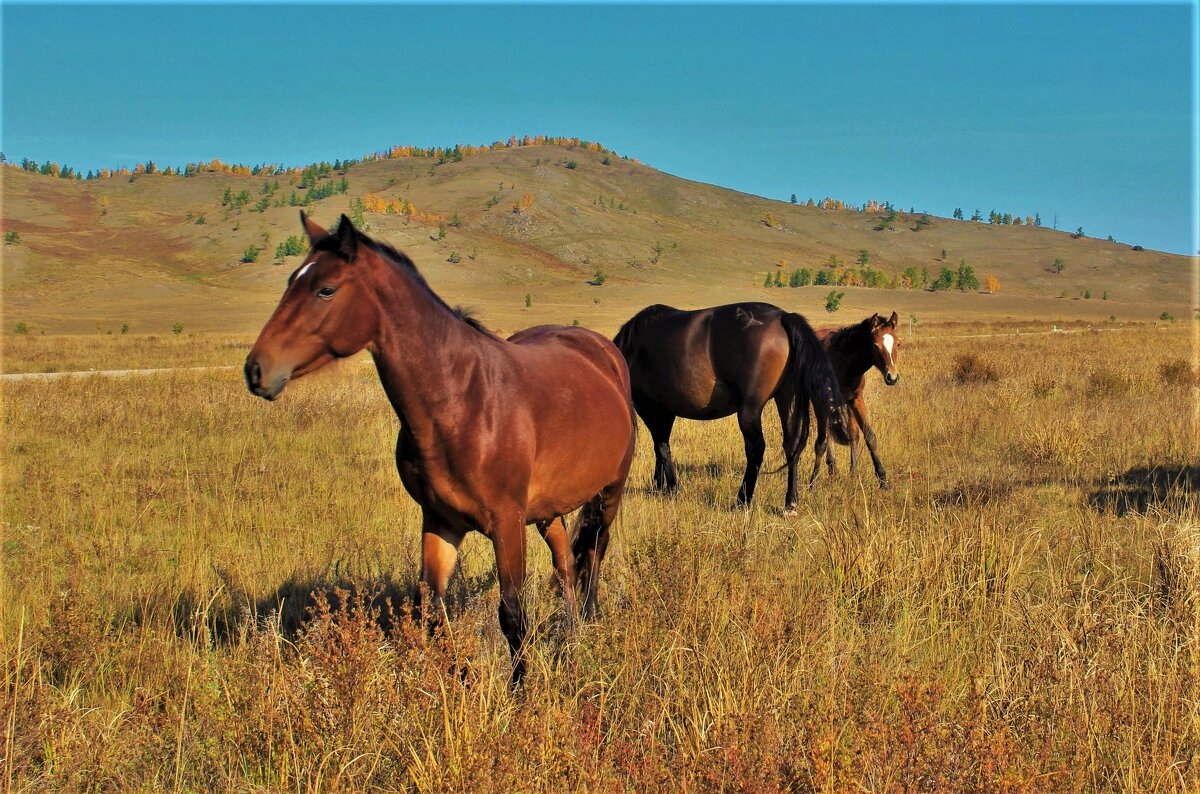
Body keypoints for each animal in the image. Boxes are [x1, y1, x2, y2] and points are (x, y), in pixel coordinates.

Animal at [244, 214, 638, 686]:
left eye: (326, 289)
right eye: (291, 281)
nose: (256, 370)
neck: (460, 400)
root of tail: (603, 350)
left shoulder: (506, 524)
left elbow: (511, 613)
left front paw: (520, 689)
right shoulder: (440, 522)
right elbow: (431, 609)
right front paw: (458, 678)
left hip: (609, 491)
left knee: (594, 549)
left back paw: (588, 621)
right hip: (547, 509)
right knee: (564, 560)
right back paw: (572, 627)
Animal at [614, 302, 849, 513]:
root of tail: (783, 317)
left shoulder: (650, 407)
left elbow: (662, 446)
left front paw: (670, 487)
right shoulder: (665, 410)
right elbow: (661, 447)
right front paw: (660, 485)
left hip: (750, 410)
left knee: (756, 448)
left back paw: (742, 500)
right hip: (786, 398)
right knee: (791, 446)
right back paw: (790, 503)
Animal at [816, 309, 902, 484]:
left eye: (898, 344)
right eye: (875, 345)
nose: (892, 377)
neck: (844, 362)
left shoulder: (855, 399)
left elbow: (869, 436)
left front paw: (882, 478)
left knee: (850, 433)